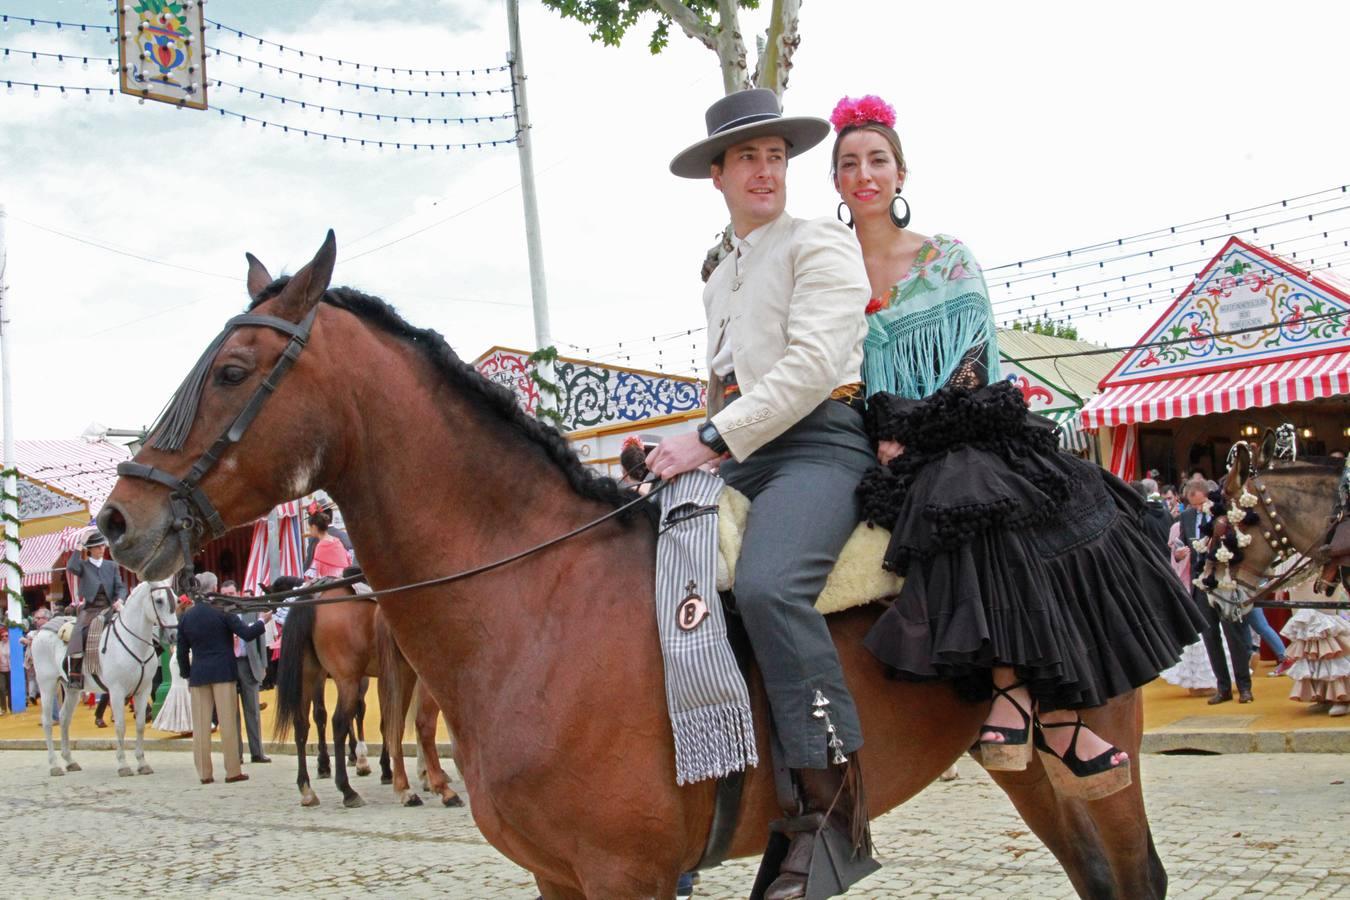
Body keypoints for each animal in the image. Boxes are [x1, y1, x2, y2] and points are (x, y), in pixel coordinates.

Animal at [31, 580, 179, 777]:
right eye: (159, 600)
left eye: (176, 599)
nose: (174, 635)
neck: (133, 643)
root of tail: (41, 630)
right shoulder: (117, 691)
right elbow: (121, 726)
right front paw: (123, 764)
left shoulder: (143, 690)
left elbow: (140, 725)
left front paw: (142, 762)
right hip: (47, 685)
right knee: (48, 721)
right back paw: (54, 765)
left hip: (71, 689)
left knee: (64, 718)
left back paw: (70, 761)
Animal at [99, 234, 1166, 900]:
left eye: (232, 372)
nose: (117, 520)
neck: (537, 606)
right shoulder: (560, 877)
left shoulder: (628, 876)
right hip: (1028, 773)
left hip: (1091, 762)